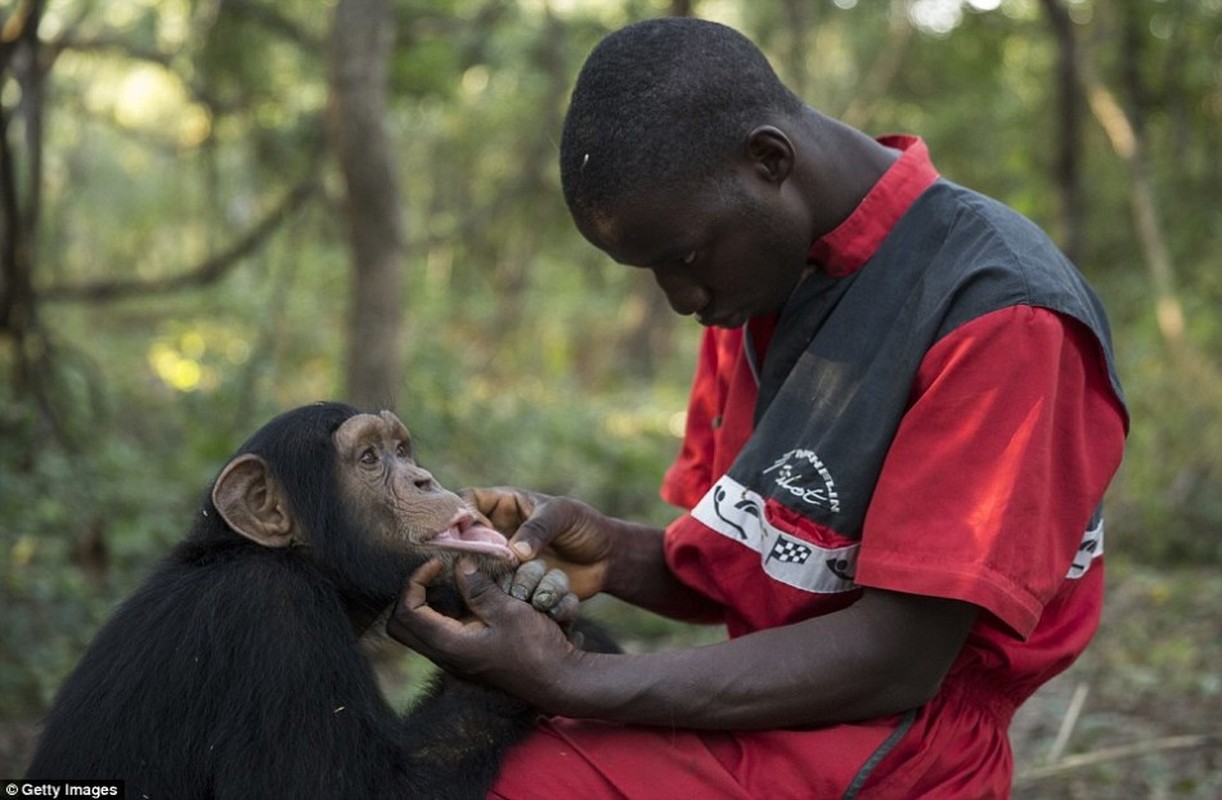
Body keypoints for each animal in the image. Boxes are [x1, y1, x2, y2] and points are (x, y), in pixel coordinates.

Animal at [26, 403, 603, 796]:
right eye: (369, 458)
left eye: (401, 451)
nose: (424, 479)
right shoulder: (274, 617)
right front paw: (514, 655)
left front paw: (541, 590)